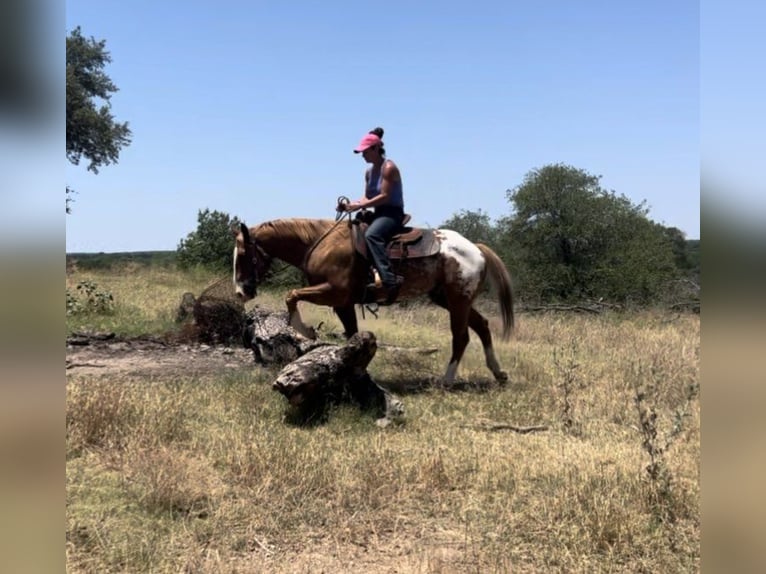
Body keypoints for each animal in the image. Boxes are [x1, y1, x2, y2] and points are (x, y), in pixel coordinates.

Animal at [232, 216, 516, 388]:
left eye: (244, 254)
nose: (240, 292)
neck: (320, 244)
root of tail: (476, 249)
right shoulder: (343, 303)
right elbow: (351, 335)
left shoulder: (334, 293)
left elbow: (291, 295)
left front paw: (305, 330)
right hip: (449, 299)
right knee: (482, 326)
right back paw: (499, 373)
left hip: (458, 300)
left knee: (461, 337)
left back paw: (446, 381)